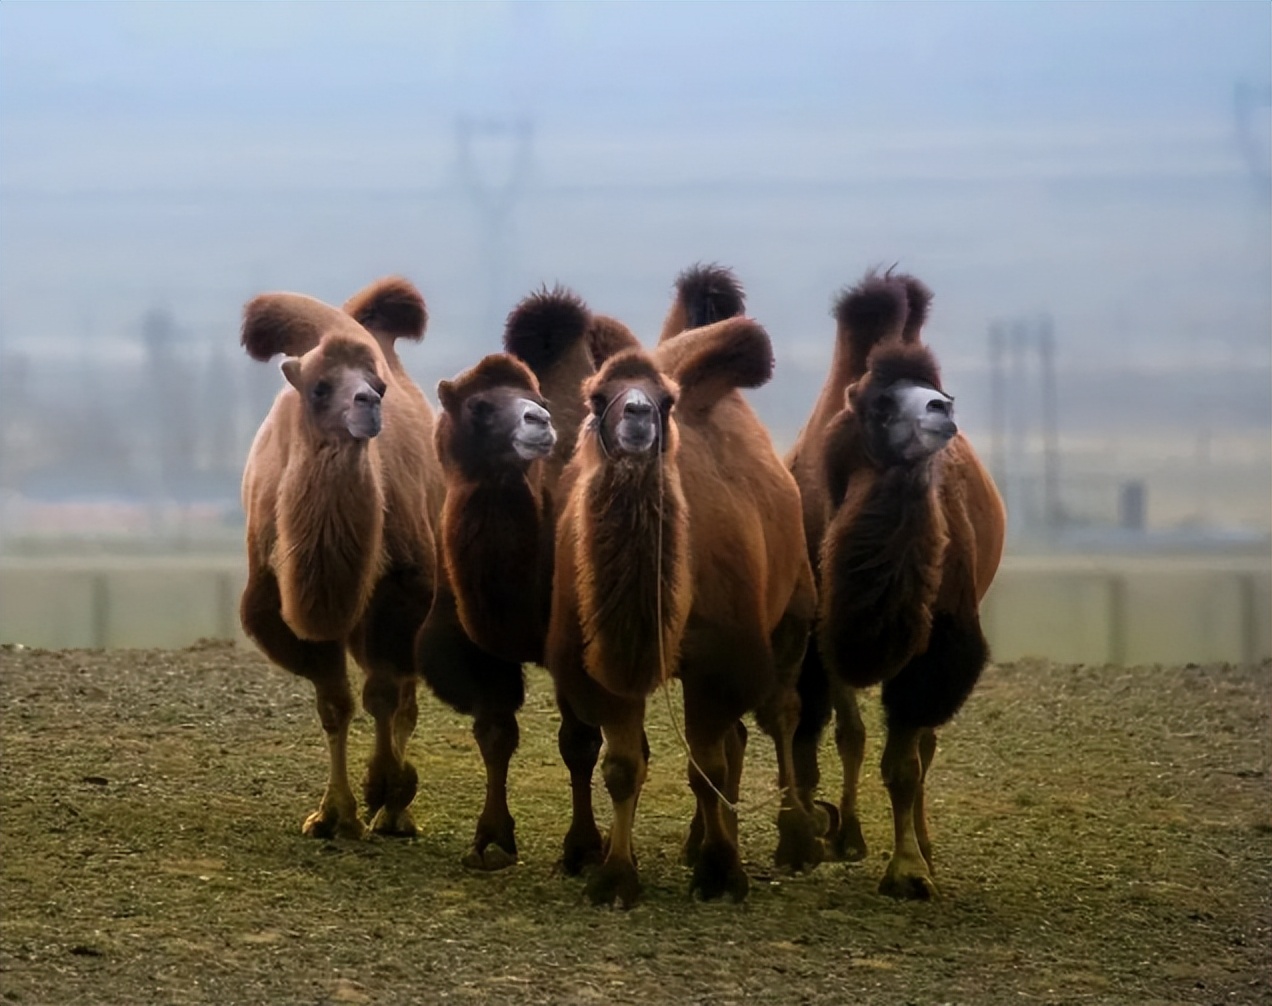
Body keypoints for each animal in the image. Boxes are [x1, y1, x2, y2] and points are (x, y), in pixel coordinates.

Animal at [240, 275, 445, 844]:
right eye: (319, 388)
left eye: (377, 384)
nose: (368, 402)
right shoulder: (280, 604)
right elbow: (334, 704)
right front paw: (333, 814)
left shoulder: (402, 593)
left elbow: (382, 695)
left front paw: (386, 787)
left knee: (403, 697)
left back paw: (397, 813)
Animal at [552, 265, 819, 905]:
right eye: (597, 395)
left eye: (665, 400)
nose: (639, 415)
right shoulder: (599, 663)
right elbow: (623, 767)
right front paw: (615, 877)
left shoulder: (721, 659)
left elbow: (706, 767)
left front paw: (723, 872)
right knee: (737, 738)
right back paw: (701, 840)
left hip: (794, 612)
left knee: (781, 713)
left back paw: (796, 838)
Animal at [783, 270, 1002, 900]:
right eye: (880, 403)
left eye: (936, 388)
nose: (941, 407)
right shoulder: (817, 635)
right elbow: (829, 734)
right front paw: (819, 835)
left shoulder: (938, 642)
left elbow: (903, 760)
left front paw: (907, 868)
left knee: (925, 743)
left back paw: (924, 846)